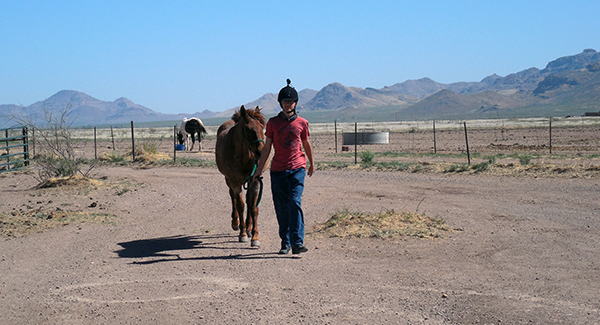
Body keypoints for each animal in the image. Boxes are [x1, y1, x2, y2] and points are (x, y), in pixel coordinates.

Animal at [213, 105, 264, 246]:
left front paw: (255, 236)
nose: (261, 152)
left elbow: (253, 207)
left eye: (262, 126)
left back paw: (249, 227)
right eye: (247, 128)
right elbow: (240, 205)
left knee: (248, 200)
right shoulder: (235, 181)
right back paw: (236, 223)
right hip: (229, 180)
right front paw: (243, 234)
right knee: (233, 197)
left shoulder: (255, 181)